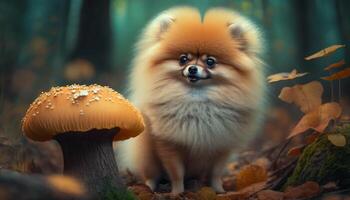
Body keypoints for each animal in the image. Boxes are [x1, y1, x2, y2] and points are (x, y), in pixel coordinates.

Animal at [119, 6, 266, 194]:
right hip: (147, 156)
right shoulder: (168, 144)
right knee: (150, 174)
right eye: (183, 59)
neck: (197, 102)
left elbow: (216, 173)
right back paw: (149, 188)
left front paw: (219, 191)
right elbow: (176, 173)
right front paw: (177, 193)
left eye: (210, 61)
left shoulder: (222, 145)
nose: (192, 69)